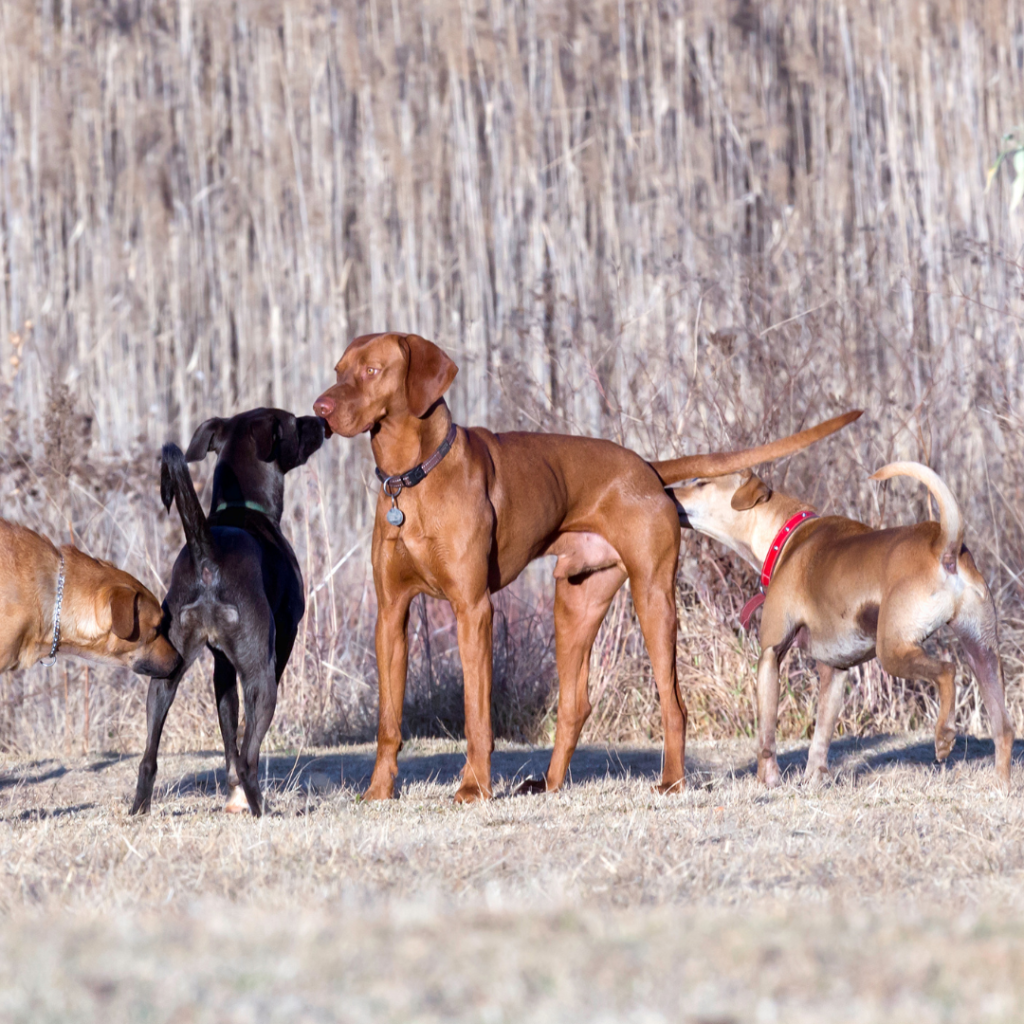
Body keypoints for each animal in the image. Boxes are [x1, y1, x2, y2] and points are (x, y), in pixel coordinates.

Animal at [130, 407, 325, 815]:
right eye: (294, 423)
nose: (322, 421)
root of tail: (207, 554)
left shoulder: (221, 668)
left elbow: (228, 731)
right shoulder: (282, 641)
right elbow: (243, 741)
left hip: (164, 675)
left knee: (148, 758)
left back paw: (139, 808)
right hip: (262, 677)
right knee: (250, 759)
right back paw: (263, 810)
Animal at [313, 331, 864, 802]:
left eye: (373, 370)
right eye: (339, 369)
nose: (320, 409)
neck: (411, 480)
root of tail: (645, 467)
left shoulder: (473, 610)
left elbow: (476, 715)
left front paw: (473, 789)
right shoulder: (391, 614)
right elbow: (388, 720)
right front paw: (378, 791)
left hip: (653, 599)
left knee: (673, 702)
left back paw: (672, 781)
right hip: (574, 601)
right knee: (575, 703)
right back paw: (551, 784)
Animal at [671, 460, 1015, 786]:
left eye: (700, 483)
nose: (667, 491)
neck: (787, 536)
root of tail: (944, 545)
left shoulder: (770, 655)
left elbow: (766, 736)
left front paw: (767, 781)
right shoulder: (834, 670)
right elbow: (821, 736)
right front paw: (812, 780)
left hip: (893, 651)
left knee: (947, 671)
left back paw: (944, 736)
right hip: (983, 654)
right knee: (1003, 728)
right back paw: (1000, 785)